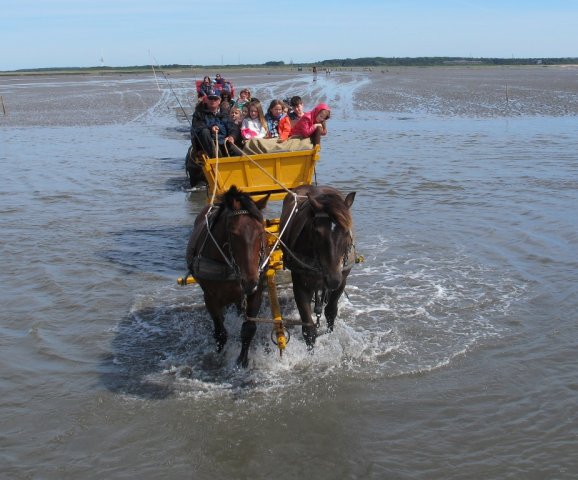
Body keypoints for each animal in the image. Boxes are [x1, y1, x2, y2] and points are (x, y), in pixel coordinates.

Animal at [187, 186, 270, 366]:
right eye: (233, 234)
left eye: (261, 231)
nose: (250, 281)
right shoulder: (210, 298)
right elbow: (220, 333)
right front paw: (220, 356)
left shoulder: (256, 291)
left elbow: (248, 329)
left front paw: (242, 360)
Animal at [280, 186, 356, 346]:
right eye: (316, 231)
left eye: (347, 231)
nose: (332, 279)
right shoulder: (300, 284)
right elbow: (308, 329)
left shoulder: (342, 280)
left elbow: (331, 312)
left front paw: (330, 335)